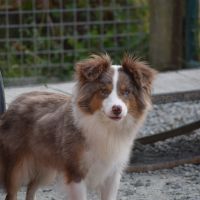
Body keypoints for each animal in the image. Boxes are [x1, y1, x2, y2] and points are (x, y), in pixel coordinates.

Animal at [0, 54, 156, 199]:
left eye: (127, 92)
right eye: (104, 91)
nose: (117, 109)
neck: (106, 127)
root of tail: (16, 101)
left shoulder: (112, 174)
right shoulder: (76, 172)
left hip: (46, 169)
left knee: (31, 189)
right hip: (16, 168)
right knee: (12, 193)